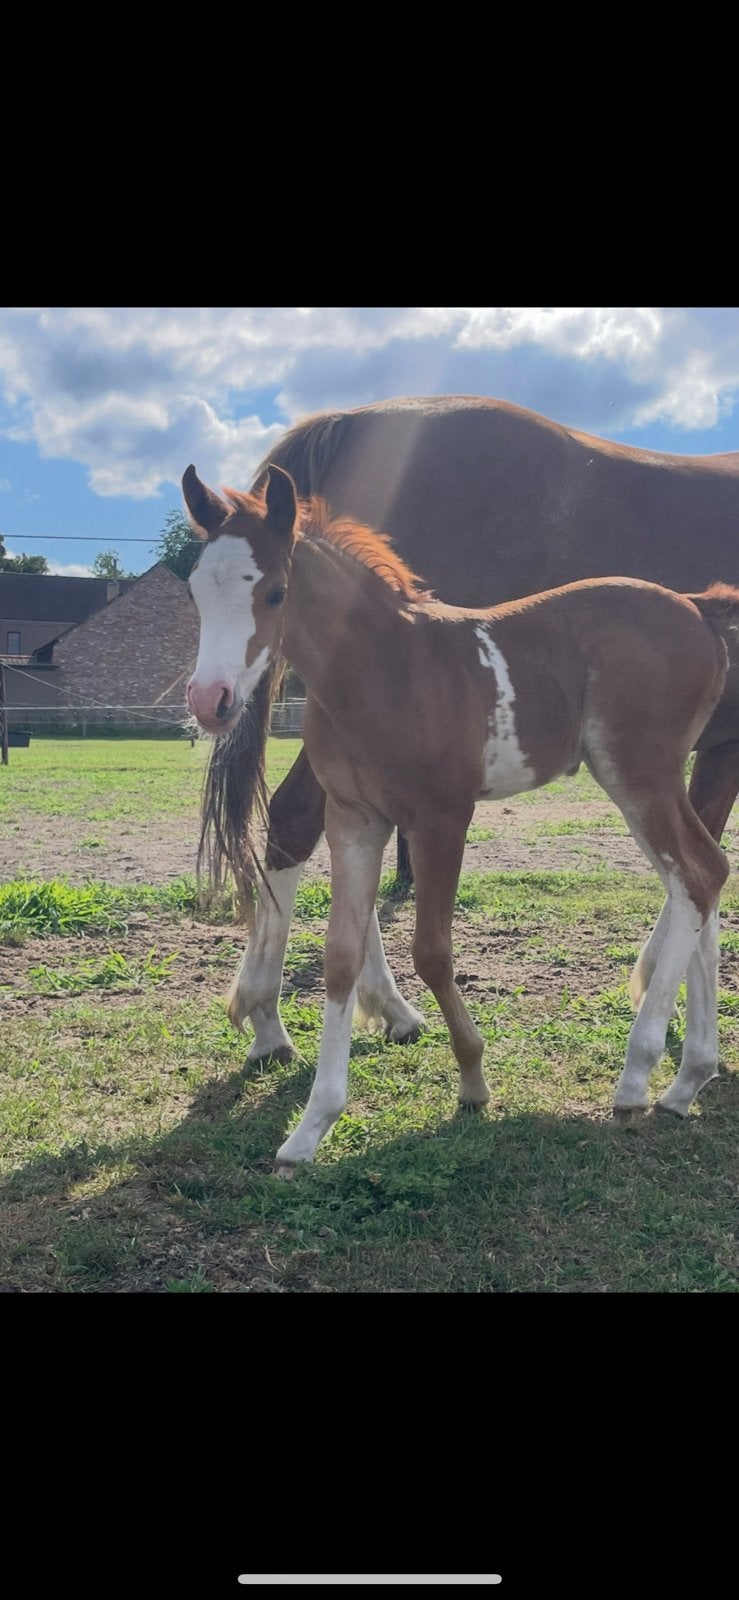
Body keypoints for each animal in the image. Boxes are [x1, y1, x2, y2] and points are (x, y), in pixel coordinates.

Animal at [183, 461, 737, 1172]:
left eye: (276, 593)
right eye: (197, 592)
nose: (211, 701)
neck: (387, 668)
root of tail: (698, 608)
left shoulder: (441, 819)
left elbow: (432, 951)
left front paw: (473, 1079)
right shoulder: (356, 820)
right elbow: (340, 955)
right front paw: (311, 1127)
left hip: (640, 774)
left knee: (696, 875)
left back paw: (638, 1077)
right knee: (704, 874)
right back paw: (687, 1078)